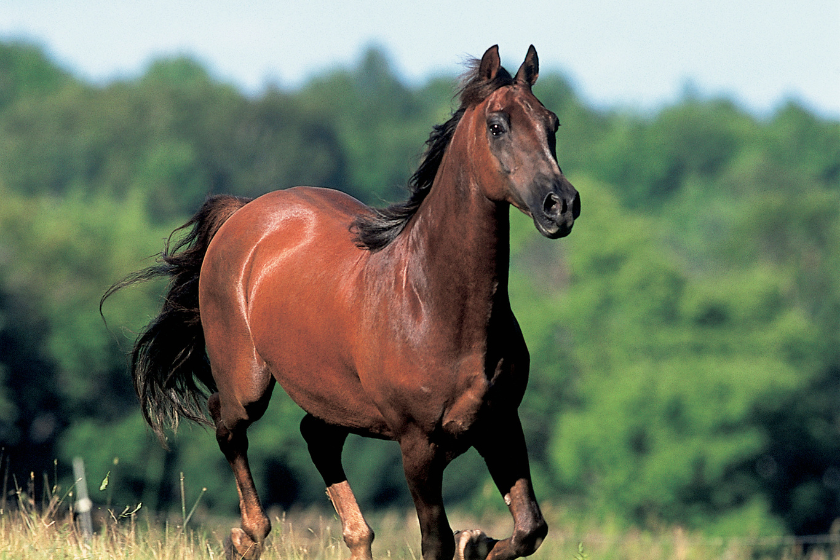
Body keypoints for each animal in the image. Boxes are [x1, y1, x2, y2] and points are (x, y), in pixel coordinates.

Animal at [103, 47, 576, 560]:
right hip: (248, 383)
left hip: (333, 398)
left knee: (317, 439)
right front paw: (471, 541)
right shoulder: (418, 443)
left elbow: (530, 528)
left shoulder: (501, 424)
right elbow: (437, 540)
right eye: (496, 125)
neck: (435, 307)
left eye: (552, 123)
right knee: (226, 423)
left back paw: (347, 535)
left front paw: (478, 542)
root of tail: (243, 212)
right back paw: (248, 534)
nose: (561, 205)